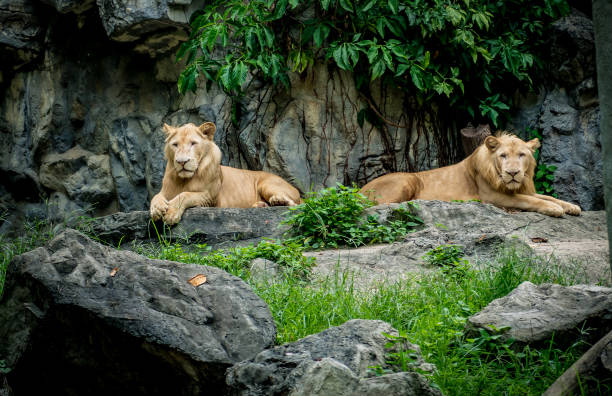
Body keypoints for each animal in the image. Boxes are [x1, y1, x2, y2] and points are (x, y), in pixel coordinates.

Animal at [149, 122, 300, 224]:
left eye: (193, 143)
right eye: (175, 145)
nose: (181, 162)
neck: (184, 179)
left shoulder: (210, 198)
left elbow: (185, 195)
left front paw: (171, 213)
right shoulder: (166, 192)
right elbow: (156, 197)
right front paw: (157, 209)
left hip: (267, 185)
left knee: (296, 205)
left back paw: (278, 201)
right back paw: (261, 205)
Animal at [360, 133, 580, 217]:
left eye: (521, 155)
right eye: (503, 156)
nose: (513, 173)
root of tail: (359, 189)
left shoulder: (524, 188)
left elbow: (546, 196)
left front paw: (571, 206)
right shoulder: (493, 196)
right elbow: (529, 201)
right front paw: (554, 209)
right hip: (407, 179)